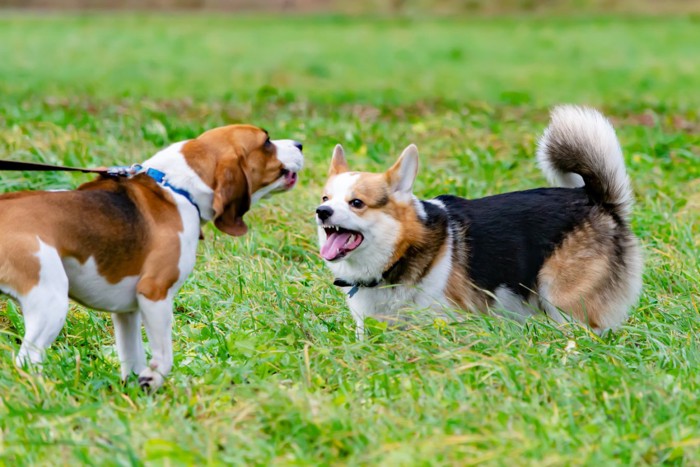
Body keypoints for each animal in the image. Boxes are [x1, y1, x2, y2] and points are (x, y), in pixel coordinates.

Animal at [0, 125, 302, 392]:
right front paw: (153, 379)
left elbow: (132, 357)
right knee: (27, 361)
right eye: (266, 141)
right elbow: (164, 356)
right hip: (50, 303)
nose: (299, 144)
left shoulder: (127, 312)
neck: (177, 188)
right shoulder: (155, 293)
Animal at [314, 107, 644, 338]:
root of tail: (597, 199)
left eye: (357, 203)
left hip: (565, 304)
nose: (321, 211)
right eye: (326, 197)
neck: (401, 252)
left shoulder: (446, 320)